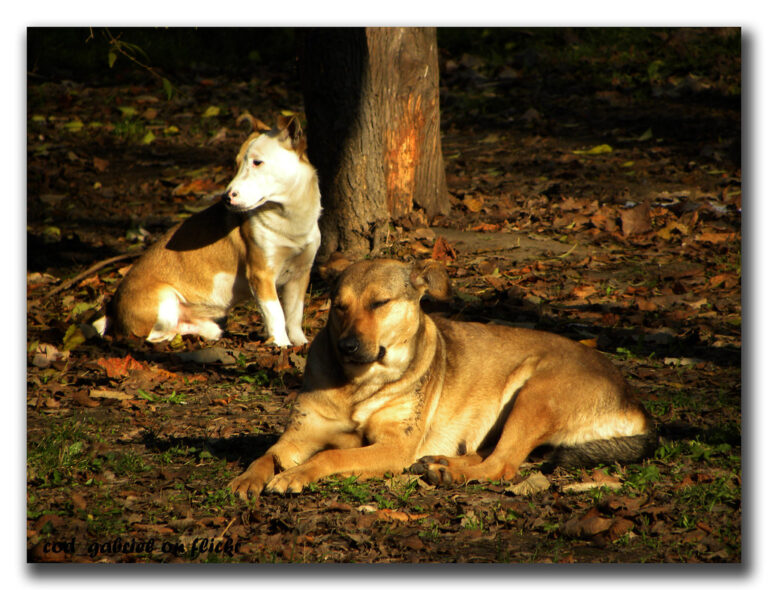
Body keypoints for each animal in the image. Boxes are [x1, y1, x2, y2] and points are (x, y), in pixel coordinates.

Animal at [228, 262, 656, 498]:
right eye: (339, 306)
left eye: (380, 303)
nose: (347, 345)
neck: (358, 383)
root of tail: (635, 402)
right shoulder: (298, 436)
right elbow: (266, 455)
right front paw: (247, 479)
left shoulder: (394, 447)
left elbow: (331, 455)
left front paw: (296, 475)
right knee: (492, 453)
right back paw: (442, 460)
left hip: (535, 394)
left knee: (503, 464)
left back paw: (450, 472)